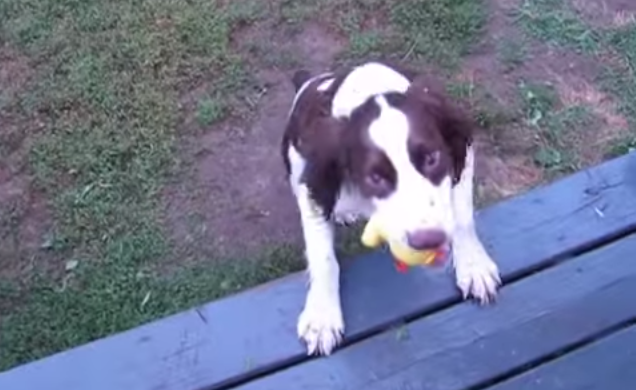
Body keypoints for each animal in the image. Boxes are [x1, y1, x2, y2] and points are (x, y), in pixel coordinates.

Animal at [280, 61, 500, 356]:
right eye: (375, 177)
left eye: (432, 158)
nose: (428, 241)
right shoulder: (313, 187)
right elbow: (323, 257)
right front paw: (322, 316)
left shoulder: (461, 154)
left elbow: (462, 220)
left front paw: (474, 266)